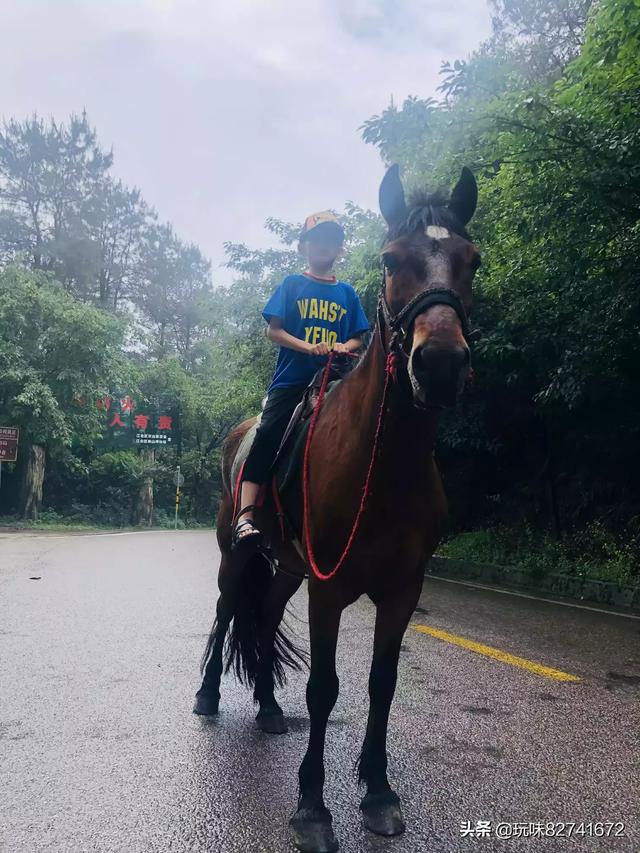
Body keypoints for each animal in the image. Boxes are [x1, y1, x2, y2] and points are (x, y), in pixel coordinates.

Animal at [195, 165, 480, 852]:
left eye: (473, 261)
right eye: (390, 259)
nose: (440, 364)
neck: (385, 468)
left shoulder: (402, 588)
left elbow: (382, 684)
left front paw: (377, 792)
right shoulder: (330, 588)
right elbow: (325, 688)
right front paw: (311, 807)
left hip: (288, 568)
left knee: (265, 616)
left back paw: (270, 709)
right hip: (235, 554)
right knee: (226, 611)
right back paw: (207, 696)